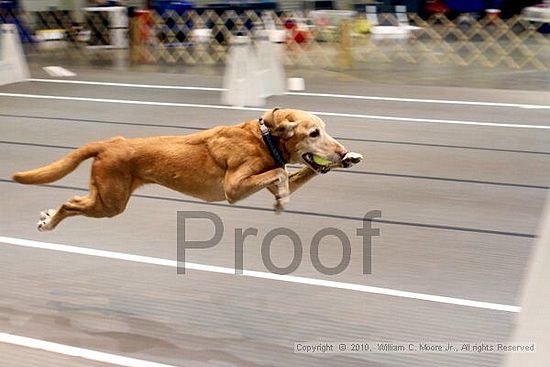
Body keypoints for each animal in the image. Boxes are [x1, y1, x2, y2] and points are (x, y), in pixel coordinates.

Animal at [12, 108, 364, 231]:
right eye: (313, 133)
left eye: (325, 129)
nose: (340, 150)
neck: (263, 139)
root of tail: (110, 143)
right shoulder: (234, 187)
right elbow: (279, 177)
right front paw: (282, 198)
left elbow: (297, 173)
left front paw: (349, 158)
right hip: (110, 204)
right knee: (70, 203)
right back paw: (49, 223)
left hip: (106, 199)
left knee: (73, 202)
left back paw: (47, 217)